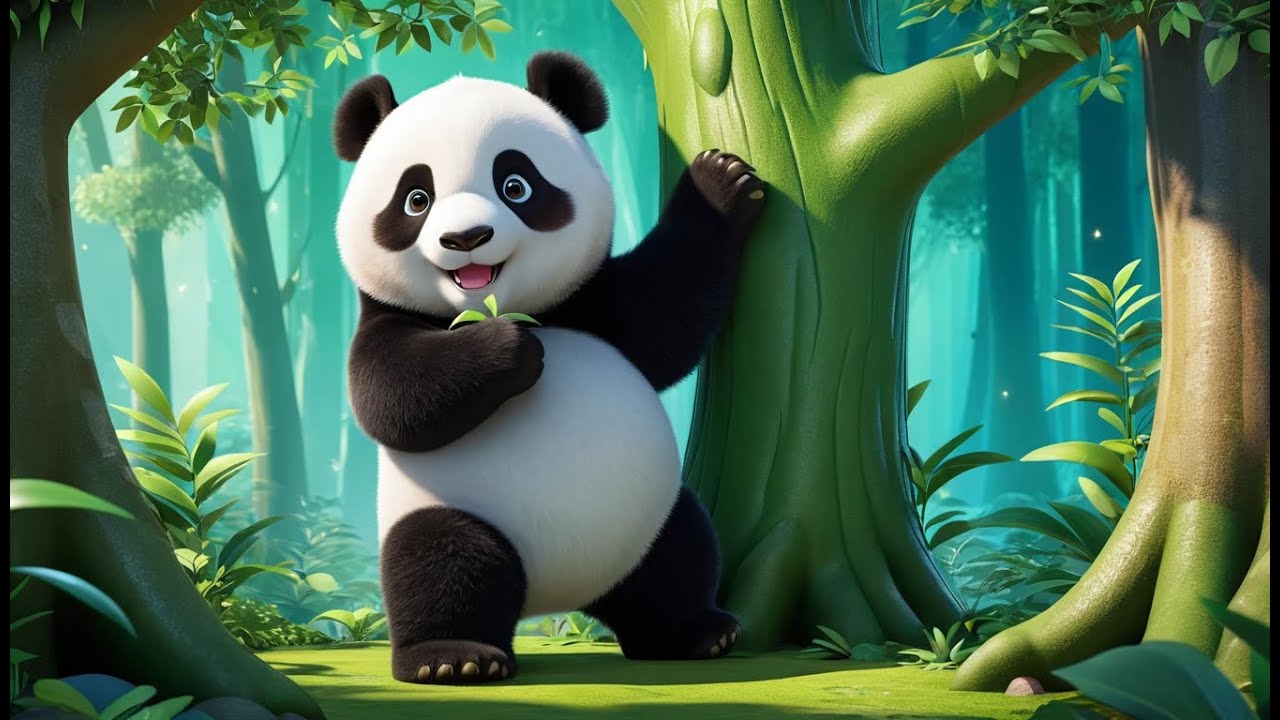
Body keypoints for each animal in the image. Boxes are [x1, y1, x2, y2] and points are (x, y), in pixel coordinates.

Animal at [333, 51, 765, 684]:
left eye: (516, 185)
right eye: (416, 199)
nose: (467, 237)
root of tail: (555, 600)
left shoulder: (593, 305)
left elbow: (668, 309)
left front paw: (721, 180)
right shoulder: (385, 322)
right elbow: (389, 401)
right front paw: (513, 349)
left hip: (647, 516)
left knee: (679, 555)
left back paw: (696, 631)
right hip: (450, 513)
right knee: (440, 562)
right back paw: (451, 657)